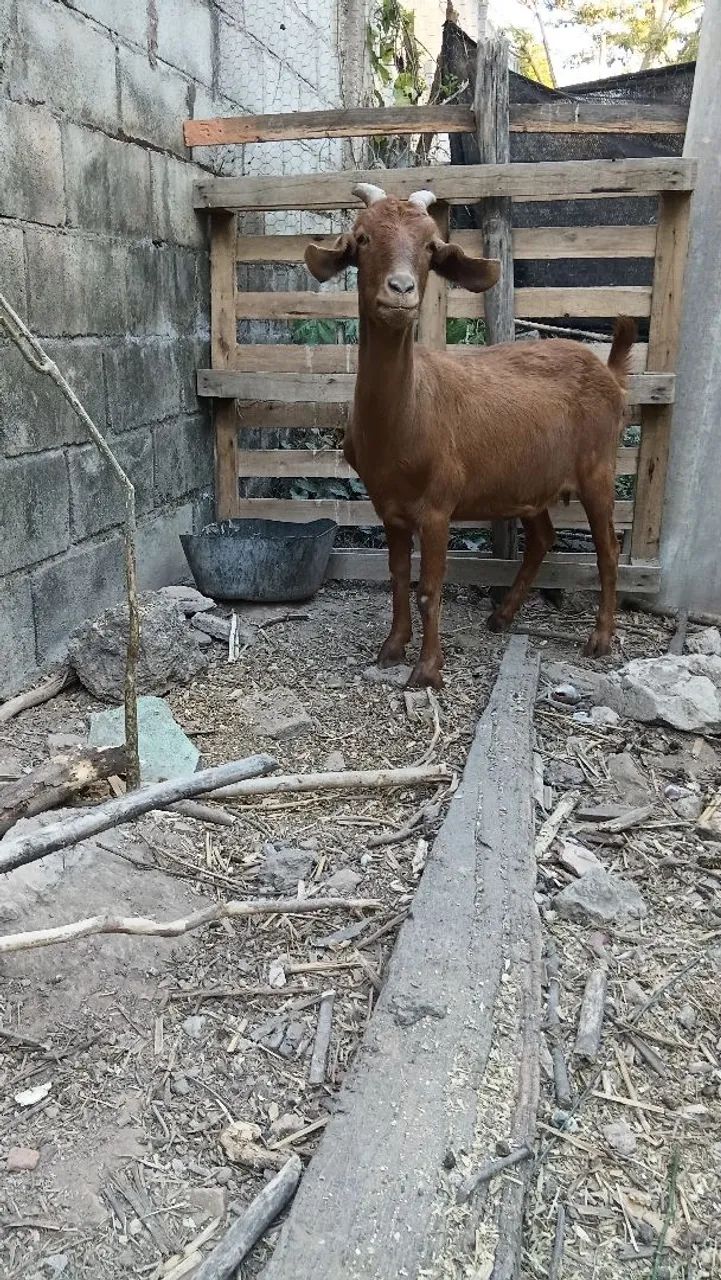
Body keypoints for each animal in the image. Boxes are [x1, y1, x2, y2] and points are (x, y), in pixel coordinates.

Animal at [305, 183, 635, 689]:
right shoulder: (388, 507)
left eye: (429, 247)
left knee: (608, 550)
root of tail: (609, 373)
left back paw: (599, 639)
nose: (401, 290)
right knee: (542, 538)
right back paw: (502, 616)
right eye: (362, 239)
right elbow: (397, 577)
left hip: (599, 467)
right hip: (529, 481)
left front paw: (427, 669)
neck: (405, 418)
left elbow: (429, 588)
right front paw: (392, 648)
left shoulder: (438, 507)